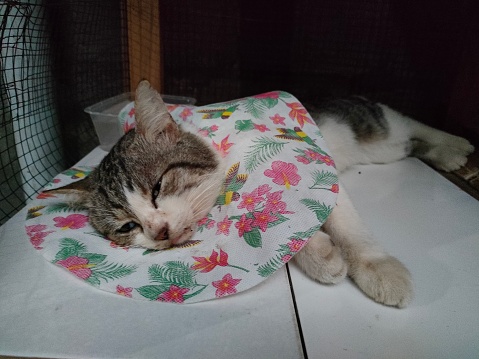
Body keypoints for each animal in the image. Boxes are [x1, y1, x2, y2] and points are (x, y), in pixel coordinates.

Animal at [46, 81, 476, 310]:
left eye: (157, 187)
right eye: (126, 227)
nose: (160, 231)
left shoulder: (306, 159)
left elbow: (346, 222)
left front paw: (377, 267)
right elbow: (285, 224)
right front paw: (321, 254)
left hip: (376, 130)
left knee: (409, 124)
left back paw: (455, 146)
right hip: (383, 148)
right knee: (410, 144)